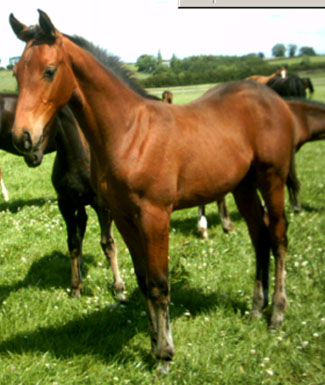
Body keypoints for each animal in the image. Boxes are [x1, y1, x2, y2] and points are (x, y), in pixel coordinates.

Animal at [9, 9, 298, 368]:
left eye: (49, 71)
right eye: (17, 73)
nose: (23, 138)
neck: (130, 132)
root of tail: (272, 97)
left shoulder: (155, 216)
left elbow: (160, 283)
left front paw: (164, 355)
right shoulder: (122, 216)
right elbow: (144, 280)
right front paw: (151, 345)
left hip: (272, 178)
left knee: (279, 237)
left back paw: (277, 314)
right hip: (242, 186)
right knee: (259, 237)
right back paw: (257, 308)